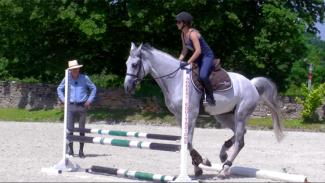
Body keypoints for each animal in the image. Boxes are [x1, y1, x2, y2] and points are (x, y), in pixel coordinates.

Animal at [124, 42, 284, 177]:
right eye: (126, 64)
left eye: (135, 64)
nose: (127, 87)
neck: (176, 80)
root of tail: (252, 84)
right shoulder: (179, 116)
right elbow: (187, 142)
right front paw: (198, 167)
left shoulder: (192, 115)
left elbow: (188, 142)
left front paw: (202, 162)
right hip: (223, 115)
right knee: (241, 133)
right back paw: (223, 154)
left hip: (240, 114)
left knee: (240, 140)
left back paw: (224, 169)